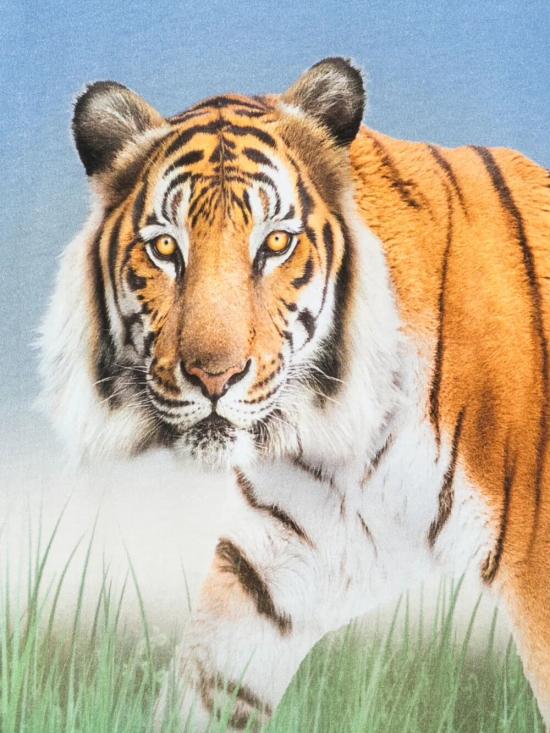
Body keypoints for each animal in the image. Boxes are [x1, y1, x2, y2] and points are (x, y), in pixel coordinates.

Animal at [40, 57, 550, 729]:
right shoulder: (274, 563)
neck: (356, 437)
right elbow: (204, 686)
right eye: (166, 247)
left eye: (275, 244)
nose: (214, 375)